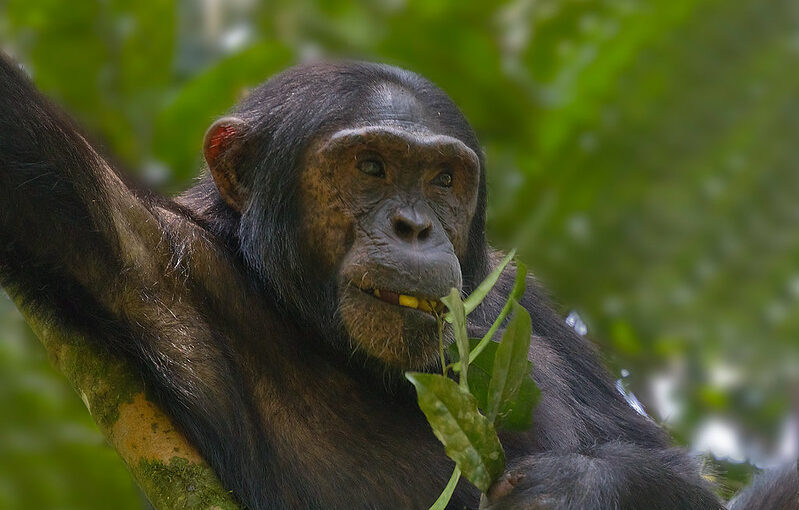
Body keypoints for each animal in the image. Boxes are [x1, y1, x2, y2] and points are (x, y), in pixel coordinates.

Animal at [0, 52, 792, 510]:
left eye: (442, 178)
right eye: (370, 167)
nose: (414, 226)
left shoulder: (520, 296)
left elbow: (676, 475)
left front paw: (574, 489)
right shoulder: (147, 260)